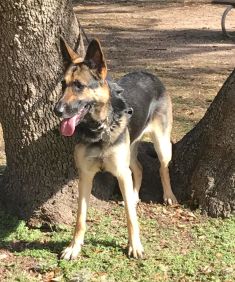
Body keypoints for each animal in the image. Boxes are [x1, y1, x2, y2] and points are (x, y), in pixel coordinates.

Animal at [54, 38, 177, 260]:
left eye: (79, 85)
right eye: (63, 84)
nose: (56, 110)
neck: (99, 129)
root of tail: (150, 74)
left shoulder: (120, 172)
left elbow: (130, 217)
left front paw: (135, 245)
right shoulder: (86, 176)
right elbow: (80, 217)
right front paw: (74, 247)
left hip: (161, 145)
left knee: (163, 168)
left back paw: (168, 195)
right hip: (130, 151)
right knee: (138, 169)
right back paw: (135, 196)